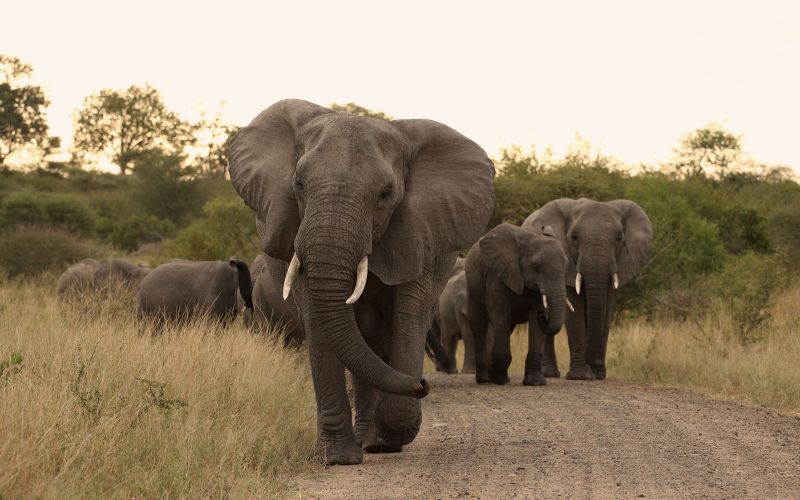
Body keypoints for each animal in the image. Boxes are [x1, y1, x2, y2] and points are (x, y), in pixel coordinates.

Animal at [227, 99, 495, 465]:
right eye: (299, 184)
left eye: (386, 194)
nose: (423, 384)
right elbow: (320, 321)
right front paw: (337, 458)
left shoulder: (419, 229)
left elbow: (408, 318)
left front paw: (391, 436)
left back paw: (375, 440)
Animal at [465, 222, 569, 386]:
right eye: (535, 267)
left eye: (566, 266)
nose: (543, 314)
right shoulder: (497, 275)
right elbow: (500, 314)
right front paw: (498, 380)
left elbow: (533, 322)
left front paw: (535, 383)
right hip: (472, 287)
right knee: (479, 326)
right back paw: (484, 379)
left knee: (507, 328)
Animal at [524, 198, 652, 380]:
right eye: (574, 237)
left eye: (619, 237)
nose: (594, 368)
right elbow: (575, 311)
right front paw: (581, 376)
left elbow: (607, 309)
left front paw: (598, 374)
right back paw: (550, 374)